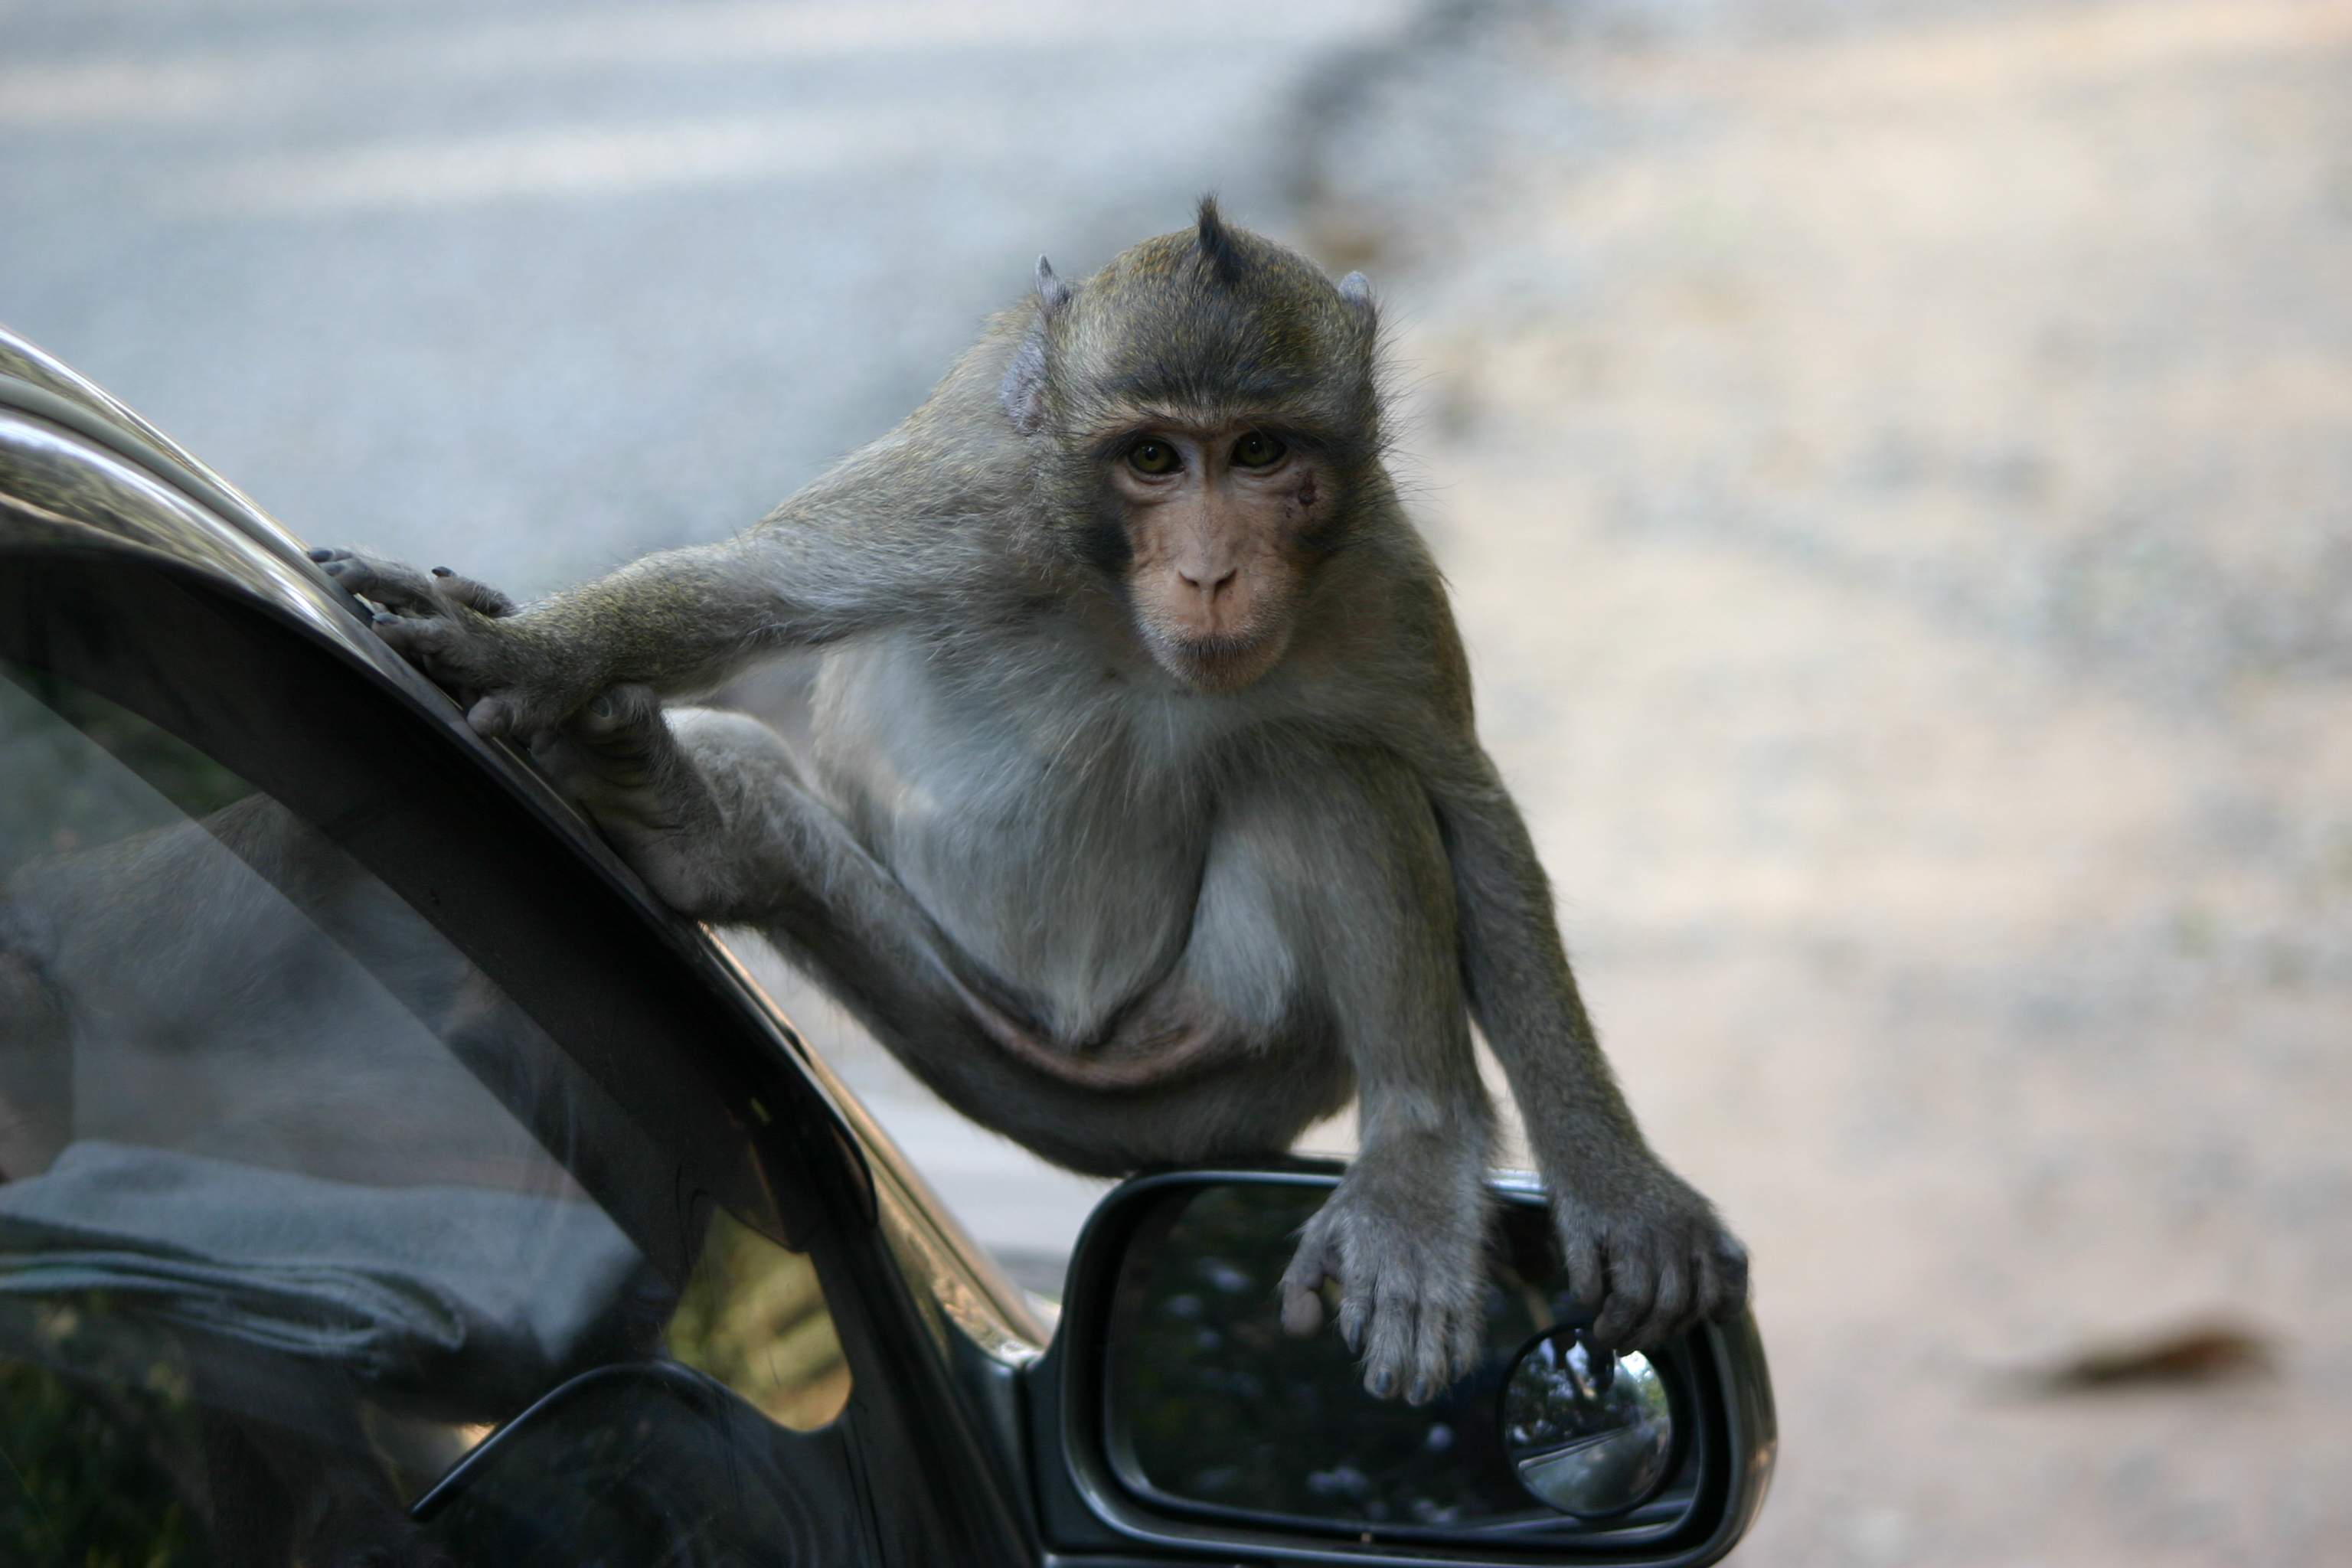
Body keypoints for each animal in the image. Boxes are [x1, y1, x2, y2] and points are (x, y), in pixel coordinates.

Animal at [317, 199, 1749, 1410]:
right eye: (1155, 457)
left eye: (1261, 451)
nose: (1213, 571)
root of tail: (1081, 1055)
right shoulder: (965, 508)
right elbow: (743, 590)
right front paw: (523, 656)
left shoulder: (1379, 575)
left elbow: (1467, 806)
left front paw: (1622, 1192)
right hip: (961, 1019)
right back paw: (693, 828)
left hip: (1228, 1060)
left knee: (1329, 773)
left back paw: (1413, 1159)